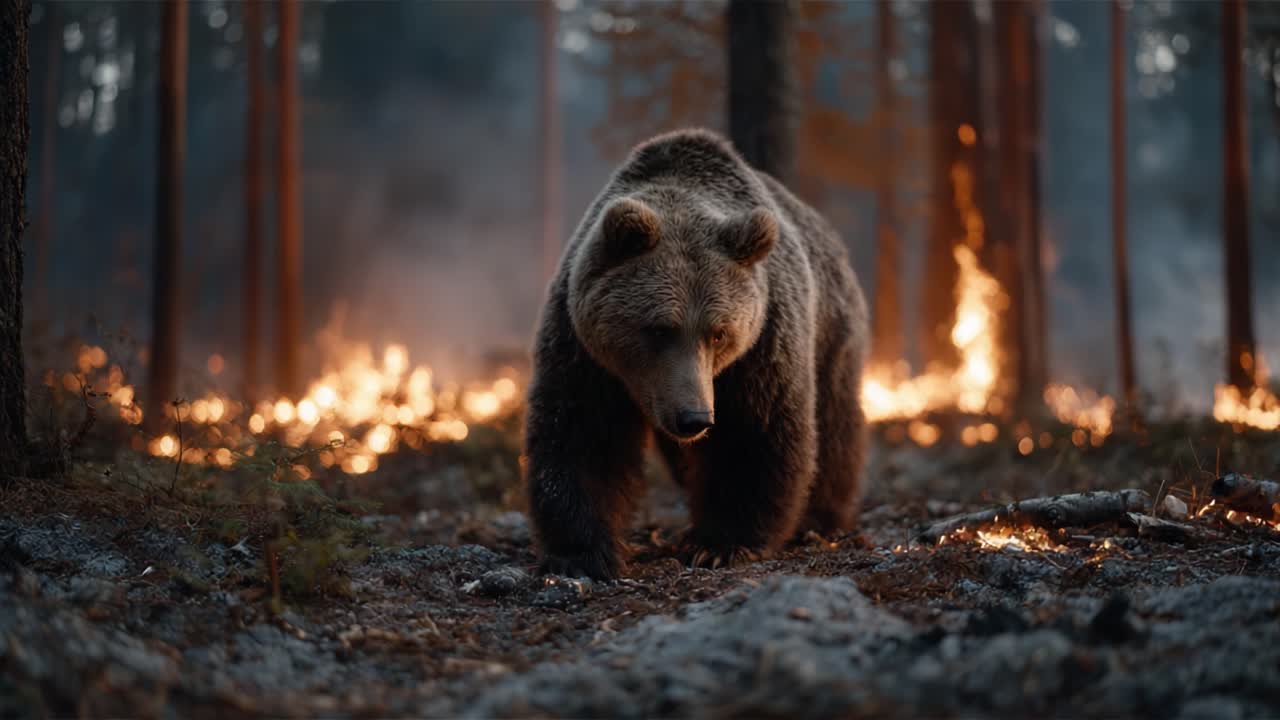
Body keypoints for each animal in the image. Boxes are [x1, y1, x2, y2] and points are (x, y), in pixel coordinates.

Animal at [524, 128, 868, 580]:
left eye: (719, 333)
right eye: (658, 328)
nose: (694, 418)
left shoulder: (761, 345)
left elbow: (754, 431)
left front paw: (719, 544)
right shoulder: (584, 349)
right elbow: (582, 432)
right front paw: (581, 552)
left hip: (832, 331)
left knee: (834, 421)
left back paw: (820, 517)